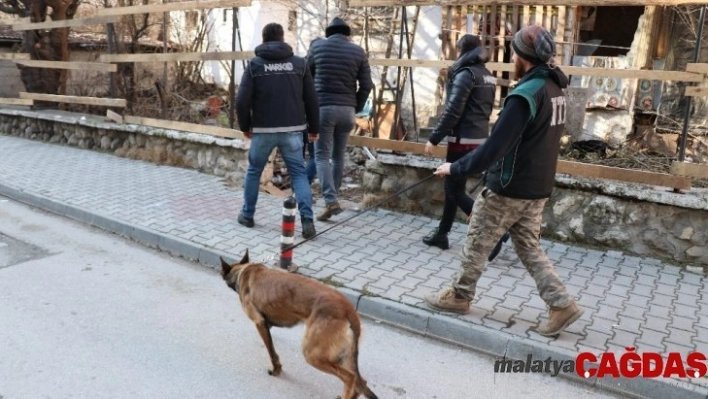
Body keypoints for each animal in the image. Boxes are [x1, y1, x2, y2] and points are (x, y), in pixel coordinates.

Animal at [221, 253, 378, 399]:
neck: (242, 271)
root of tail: (347, 308)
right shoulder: (266, 323)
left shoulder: (259, 323)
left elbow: (271, 352)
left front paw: (276, 370)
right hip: (343, 355)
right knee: (360, 382)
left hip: (312, 354)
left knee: (350, 377)